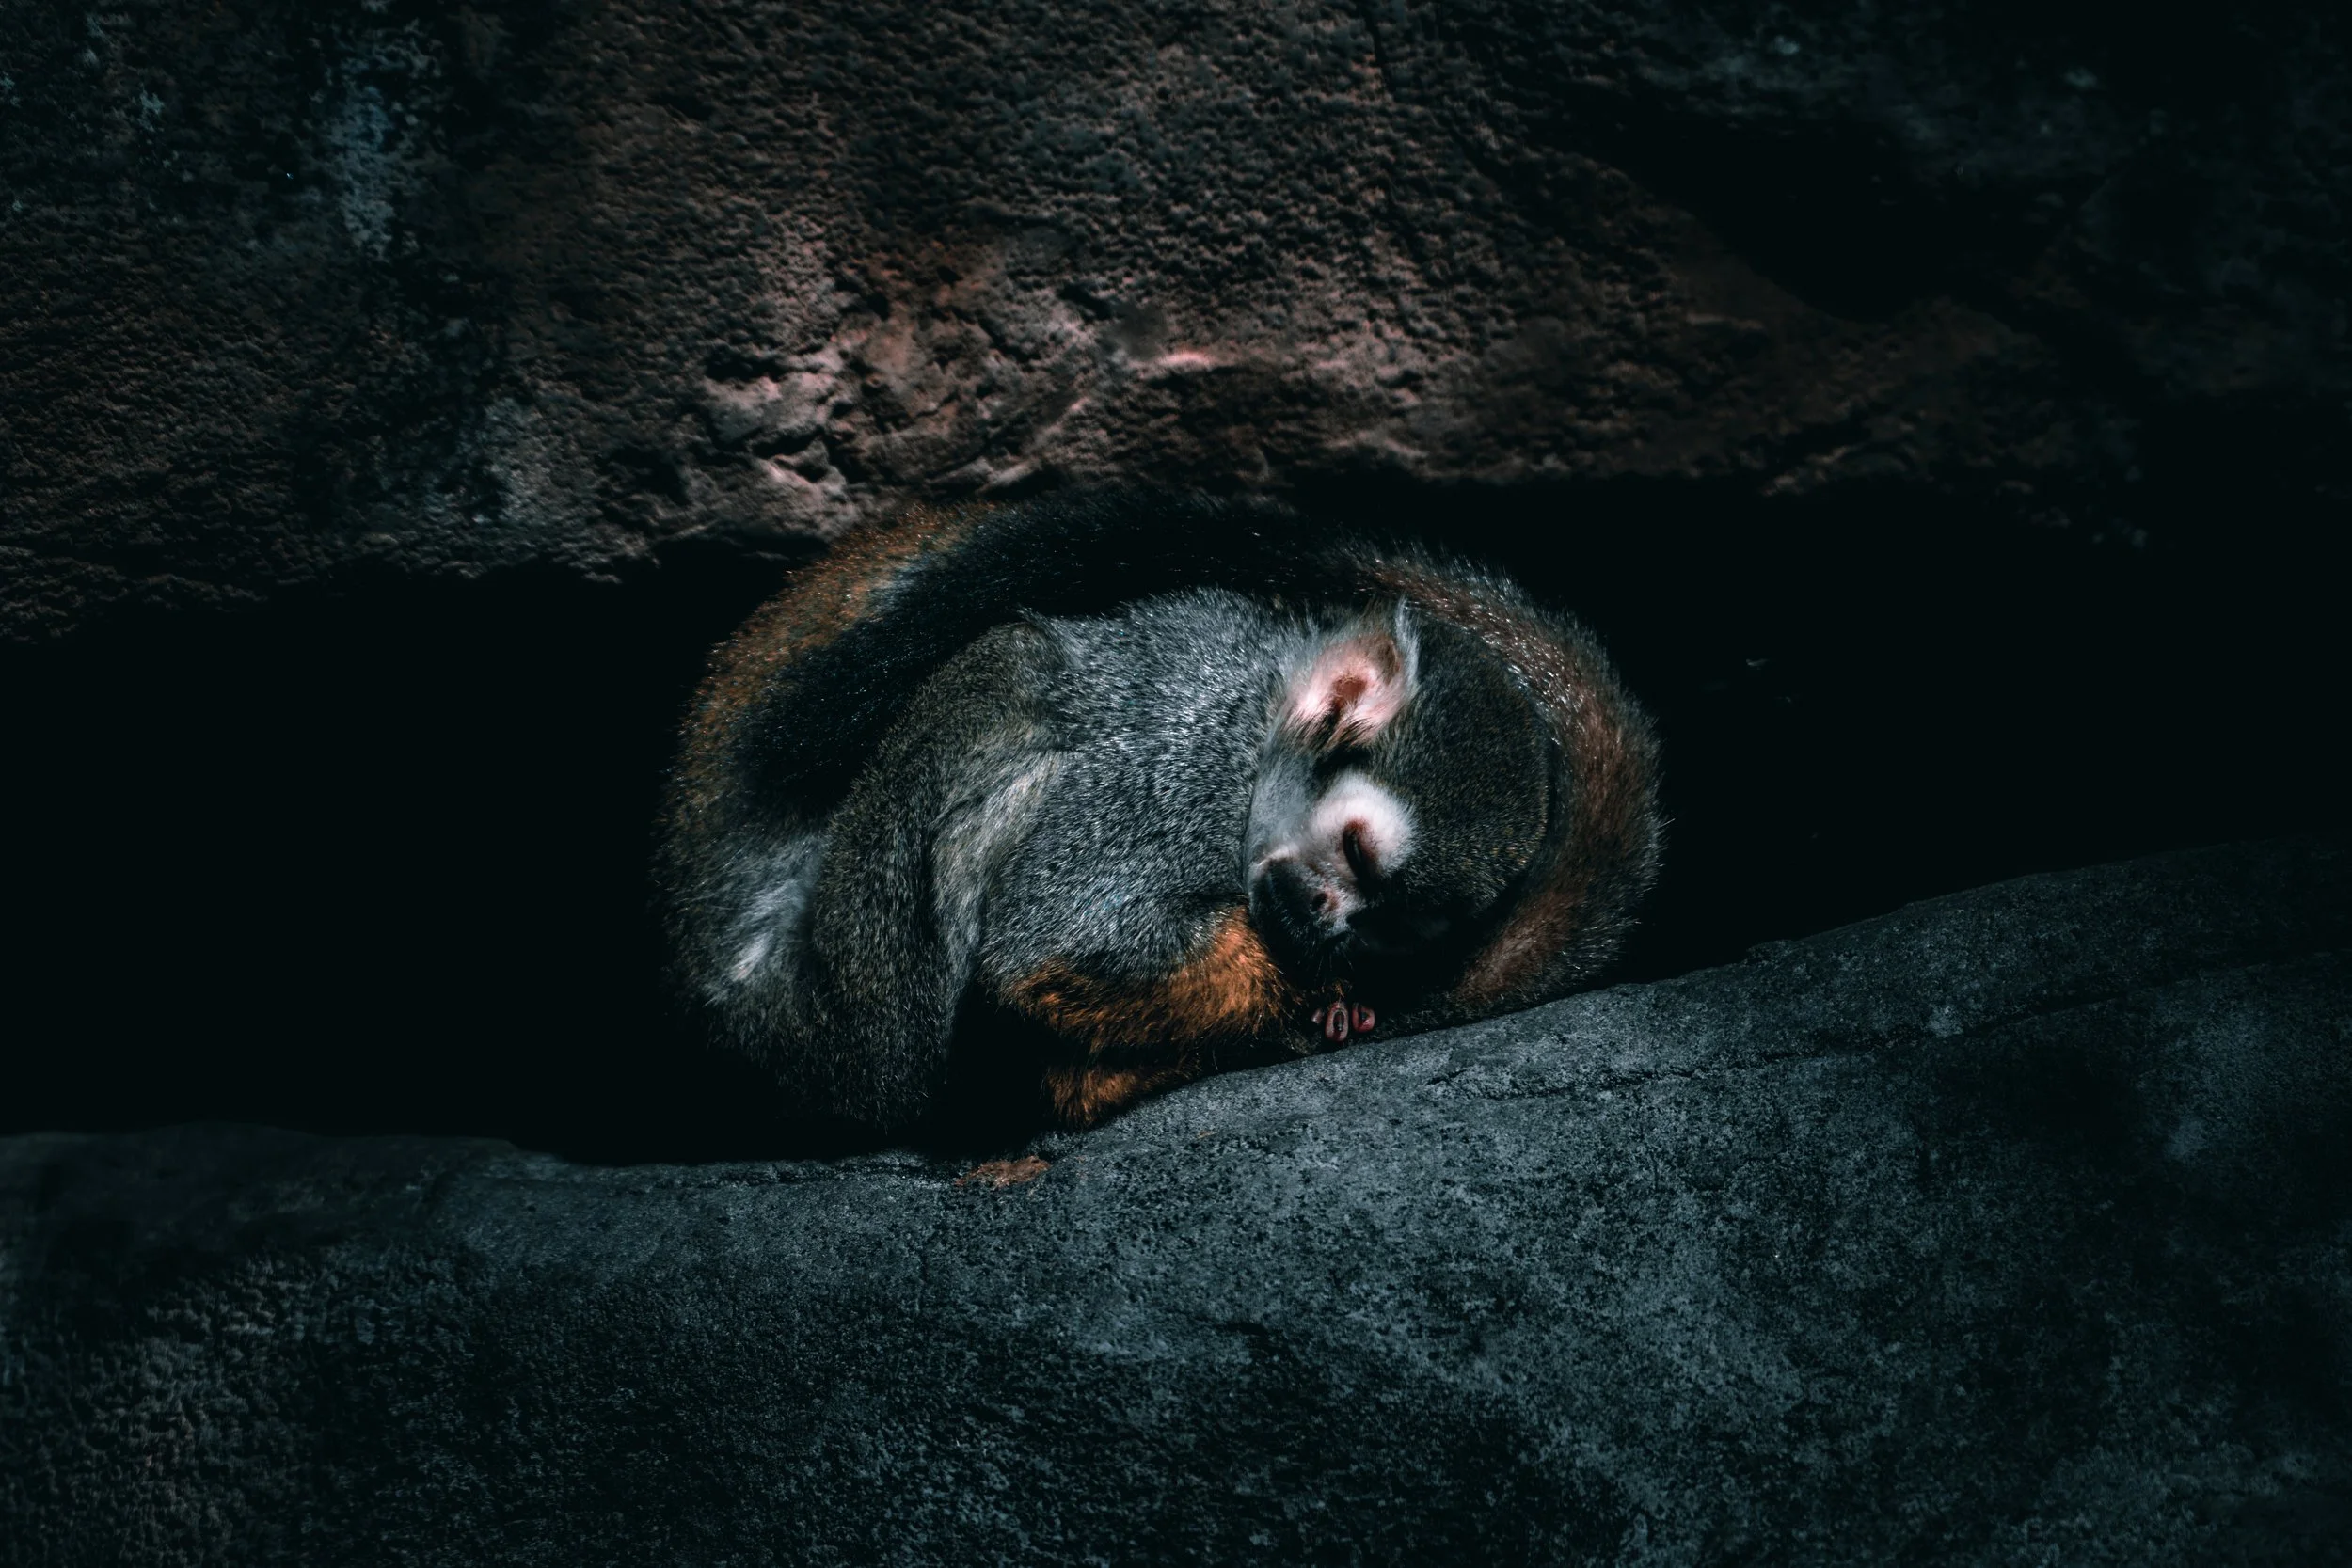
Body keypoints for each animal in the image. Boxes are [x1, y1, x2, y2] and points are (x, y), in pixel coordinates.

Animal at [657, 489, 1661, 1137]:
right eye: (1355, 857)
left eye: (1395, 919)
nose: (1332, 920)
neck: (1261, 718)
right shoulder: (1186, 772)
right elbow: (1057, 939)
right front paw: (1304, 996)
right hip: (862, 1018)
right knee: (1010, 678)